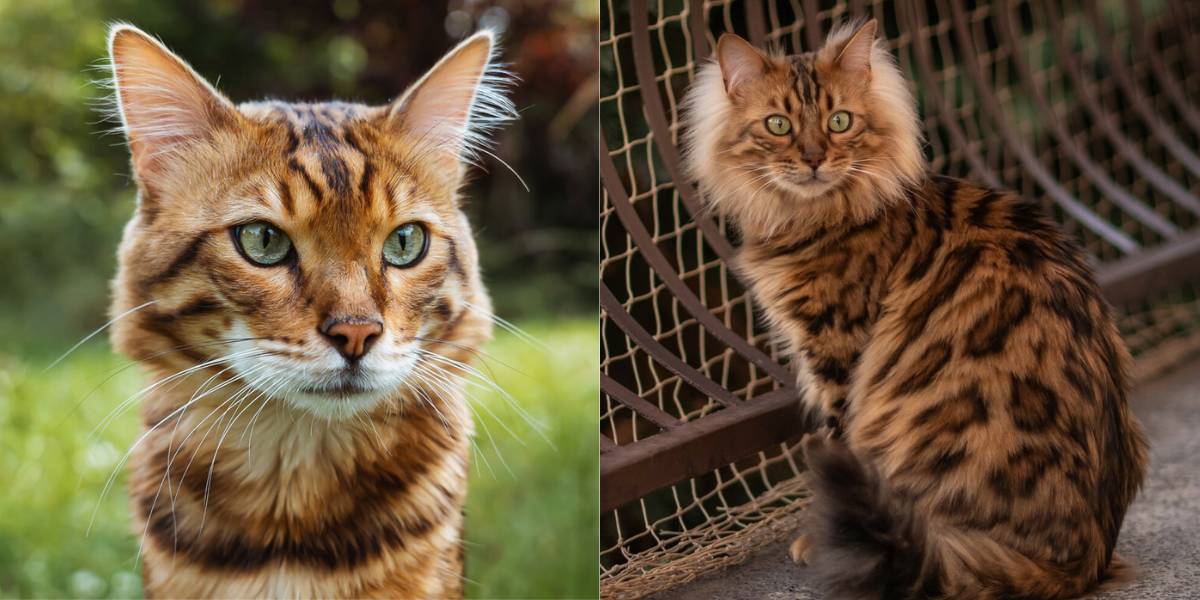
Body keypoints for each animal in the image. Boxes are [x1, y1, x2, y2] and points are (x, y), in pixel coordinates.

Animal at [681, 18, 1147, 600]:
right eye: (778, 124)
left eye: (839, 121)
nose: (813, 158)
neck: (814, 214)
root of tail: (1083, 561)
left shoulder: (839, 348)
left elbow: (838, 436)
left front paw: (814, 539)